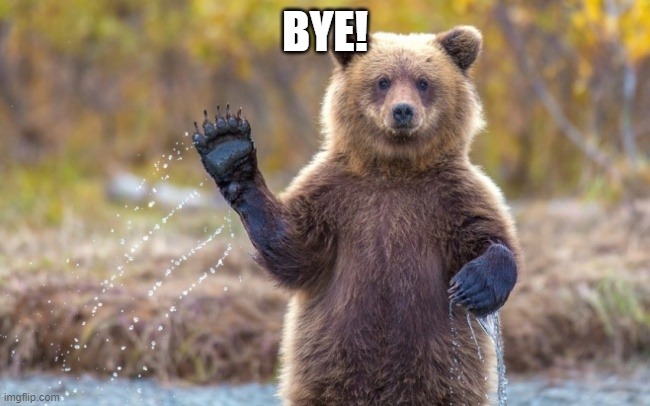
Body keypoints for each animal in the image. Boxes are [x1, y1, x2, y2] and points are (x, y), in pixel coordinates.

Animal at [192, 25, 522, 405]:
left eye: (423, 81)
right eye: (383, 81)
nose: (403, 111)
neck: (395, 169)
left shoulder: (452, 196)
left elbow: (489, 235)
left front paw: (474, 285)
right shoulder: (336, 195)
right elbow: (294, 247)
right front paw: (227, 147)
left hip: (443, 369)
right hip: (329, 364)